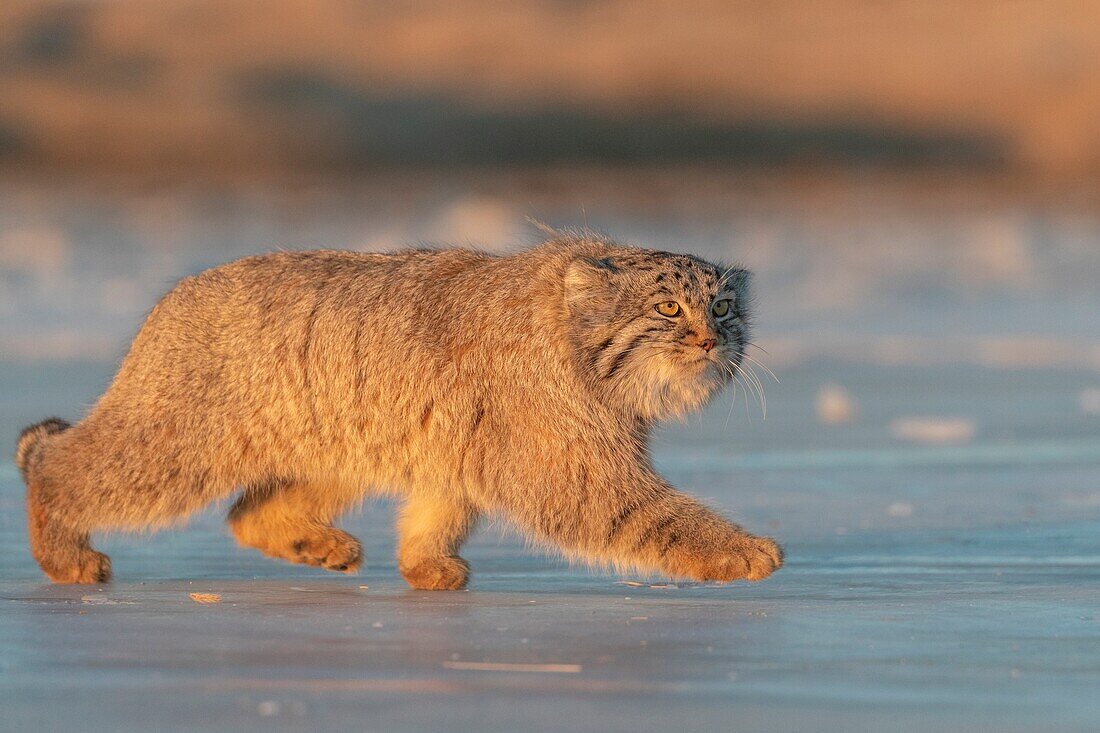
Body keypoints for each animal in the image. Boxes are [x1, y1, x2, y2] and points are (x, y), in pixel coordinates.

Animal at [12, 234, 778, 589]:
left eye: (723, 307)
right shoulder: (573, 468)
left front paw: (424, 565)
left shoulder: (458, 451)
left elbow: (439, 511)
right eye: (668, 308)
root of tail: (169, 302)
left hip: (339, 449)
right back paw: (63, 556)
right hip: (174, 446)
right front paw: (742, 550)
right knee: (53, 465)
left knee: (246, 510)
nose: (711, 339)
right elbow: (654, 516)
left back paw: (320, 545)